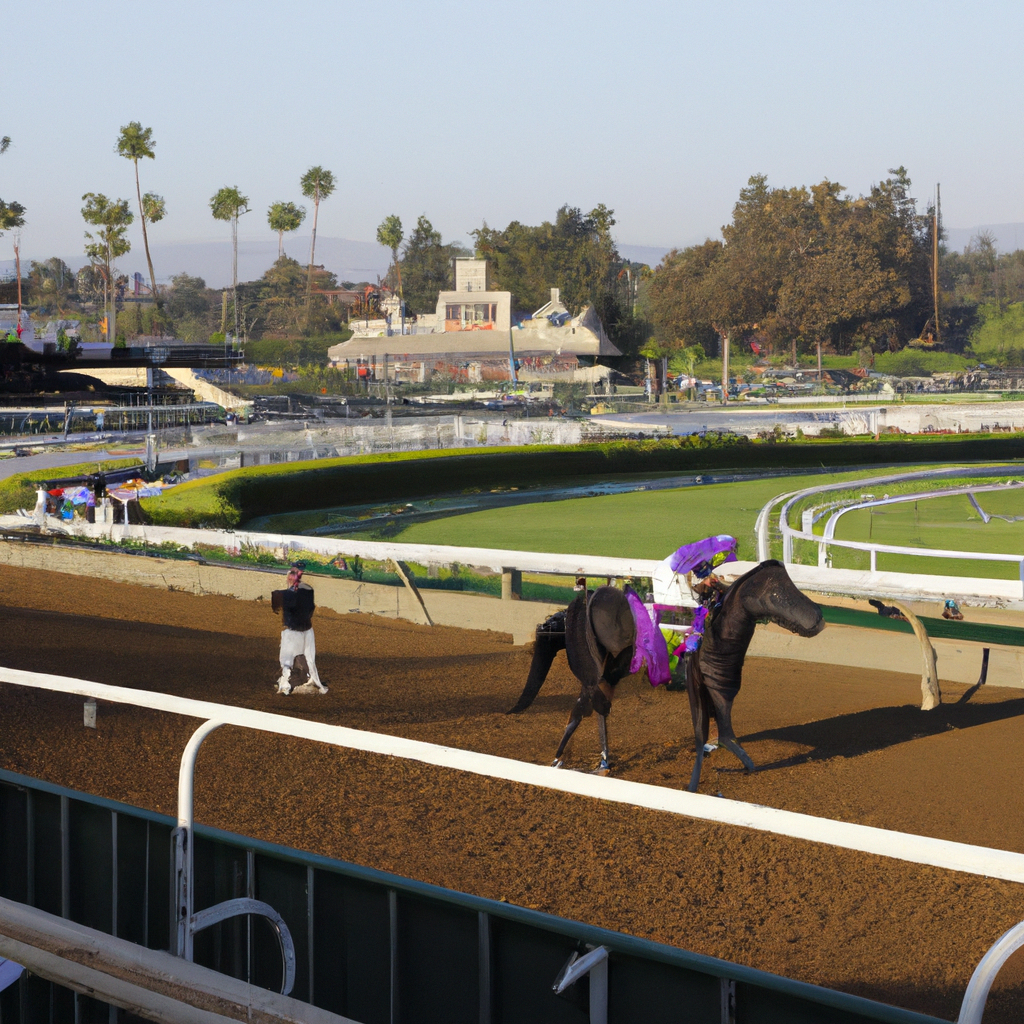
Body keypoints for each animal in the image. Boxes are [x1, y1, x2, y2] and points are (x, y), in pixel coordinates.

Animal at [507, 561, 827, 790]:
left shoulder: (712, 680)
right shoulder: (711, 679)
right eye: (778, 593)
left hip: (612, 669)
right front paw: (710, 774)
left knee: (594, 707)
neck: (719, 626)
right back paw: (563, 760)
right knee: (583, 708)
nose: (818, 618)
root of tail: (587, 599)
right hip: (599, 669)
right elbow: (715, 727)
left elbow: (716, 725)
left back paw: (599, 762)